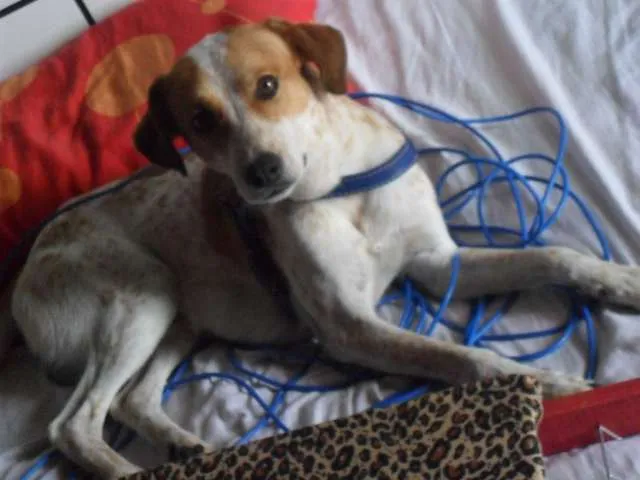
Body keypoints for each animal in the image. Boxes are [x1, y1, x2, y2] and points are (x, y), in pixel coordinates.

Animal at [3, 17, 640, 478]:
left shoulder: (438, 265)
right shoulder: (350, 327)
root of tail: (28, 263)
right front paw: (546, 385)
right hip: (142, 295)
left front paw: (620, 281)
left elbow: (553, 257)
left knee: (132, 400)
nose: (261, 172)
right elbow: (463, 357)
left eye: (268, 85)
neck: (340, 189)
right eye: (199, 120)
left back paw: (184, 446)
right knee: (75, 424)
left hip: (180, 318)